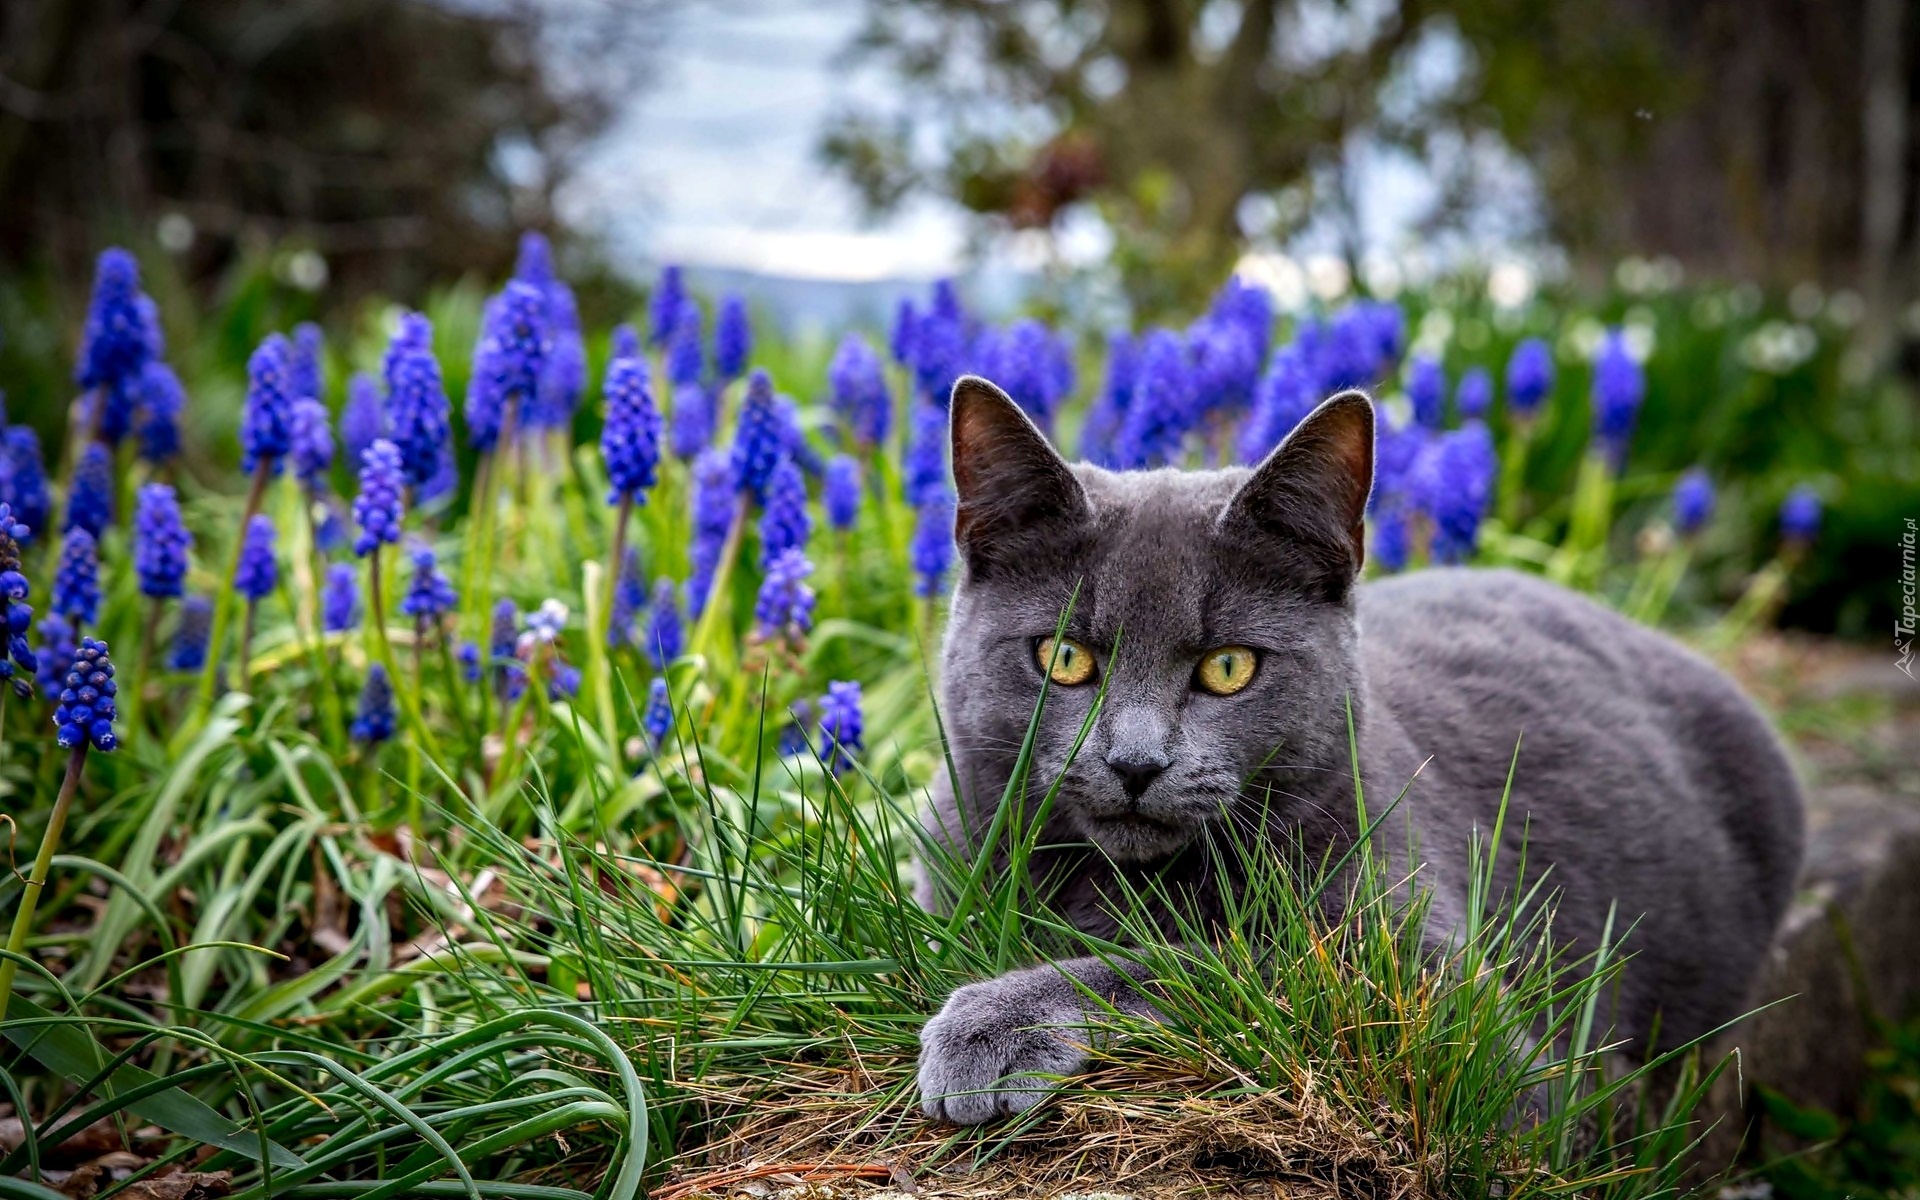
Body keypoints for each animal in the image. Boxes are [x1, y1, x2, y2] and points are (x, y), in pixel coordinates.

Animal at [910, 374, 1797, 1121]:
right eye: (1063, 657)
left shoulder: (1455, 1007)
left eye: (1228, 667)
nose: (1135, 763)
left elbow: (1236, 965)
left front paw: (995, 1022)